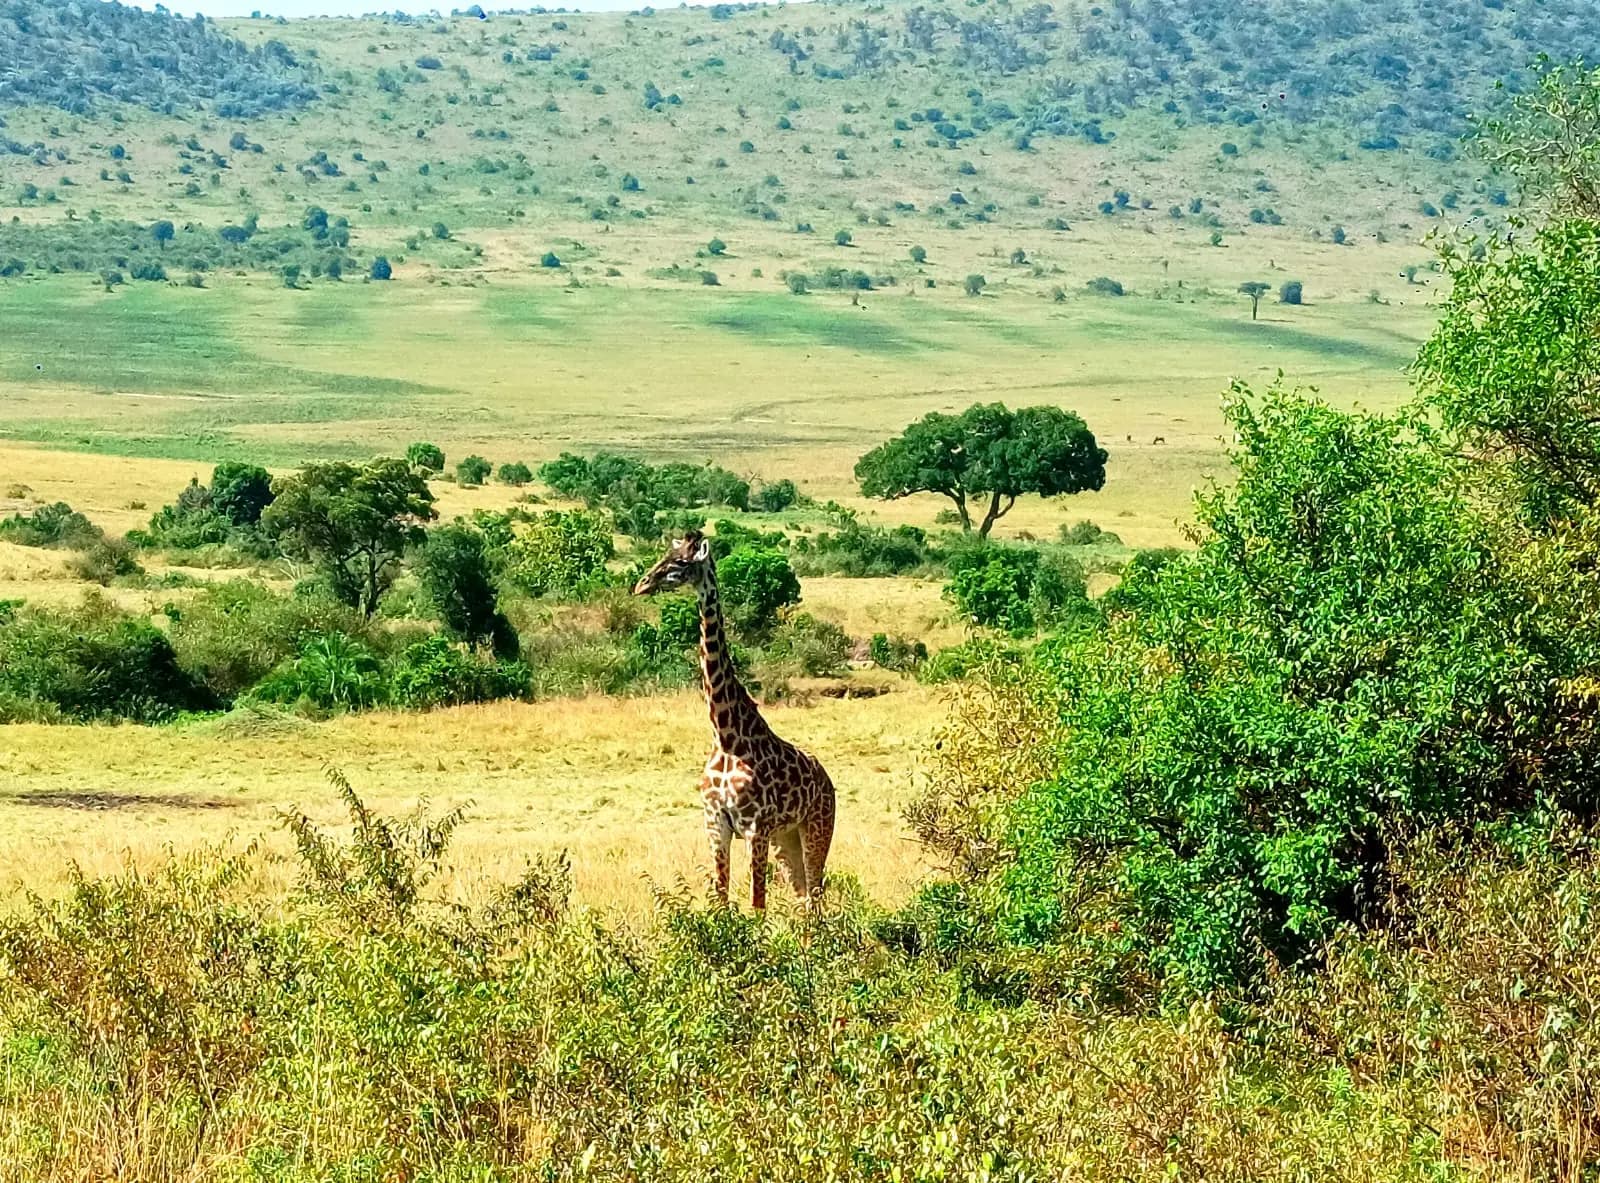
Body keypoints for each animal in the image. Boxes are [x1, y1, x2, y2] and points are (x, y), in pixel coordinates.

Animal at [633, 530, 836, 910]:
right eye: (663, 555)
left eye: (679, 563)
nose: (641, 585)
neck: (726, 738)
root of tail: (828, 781)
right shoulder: (716, 825)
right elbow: (721, 901)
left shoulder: (755, 827)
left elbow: (757, 906)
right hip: (786, 839)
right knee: (803, 899)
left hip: (816, 828)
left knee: (815, 898)